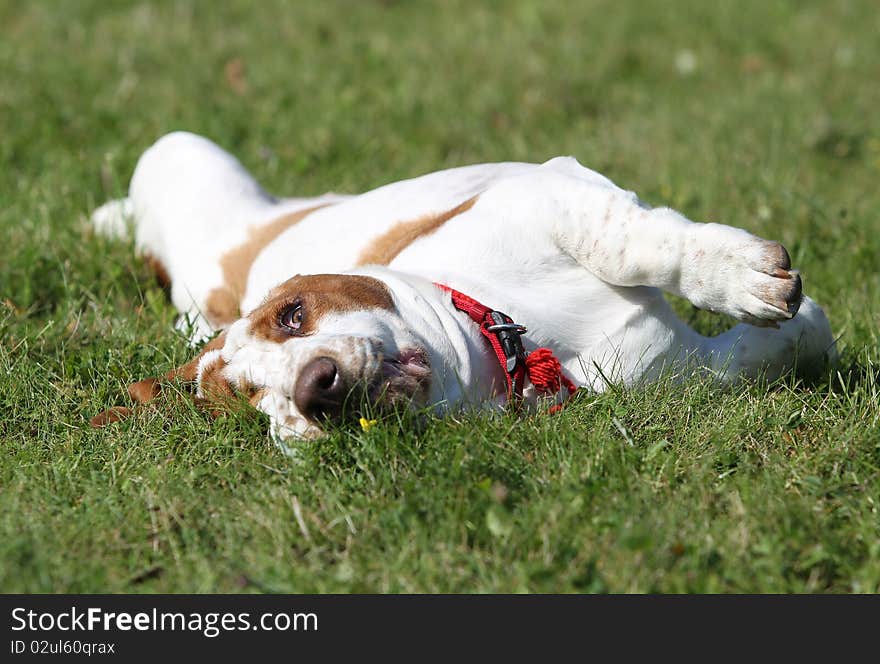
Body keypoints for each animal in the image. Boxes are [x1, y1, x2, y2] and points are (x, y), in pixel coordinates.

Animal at [93, 132, 836, 444]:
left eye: (293, 315)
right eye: (252, 406)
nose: (313, 390)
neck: (520, 337)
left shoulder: (549, 191)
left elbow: (628, 244)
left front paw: (746, 278)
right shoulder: (674, 370)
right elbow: (748, 358)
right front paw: (804, 330)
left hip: (179, 150)